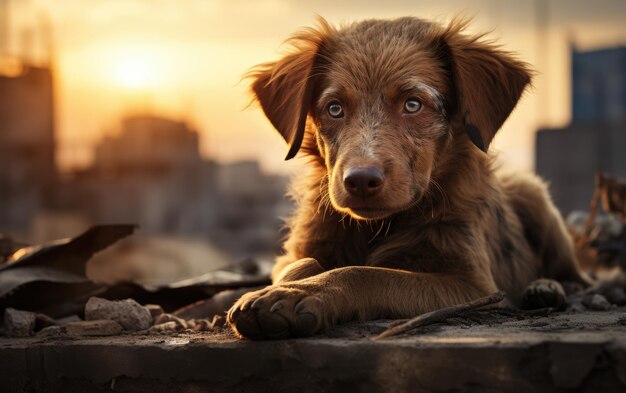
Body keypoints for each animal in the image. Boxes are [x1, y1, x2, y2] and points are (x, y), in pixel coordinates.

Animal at [227, 16, 588, 338]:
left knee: (578, 276)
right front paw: (283, 290)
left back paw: (545, 287)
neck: (378, 226)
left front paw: (304, 294)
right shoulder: (298, 250)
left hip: (533, 195)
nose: (360, 180)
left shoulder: (476, 286)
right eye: (334, 108)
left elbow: (369, 274)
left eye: (413, 104)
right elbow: (303, 263)